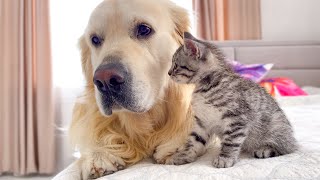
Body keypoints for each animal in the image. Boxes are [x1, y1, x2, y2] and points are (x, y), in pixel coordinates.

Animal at [166, 32, 298, 167]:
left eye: (176, 65)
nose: (168, 73)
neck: (207, 87)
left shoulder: (237, 119)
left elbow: (230, 141)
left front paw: (225, 158)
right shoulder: (201, 122)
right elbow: (194, 140)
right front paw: (183, 155)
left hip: (276, 126)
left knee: (287, 148)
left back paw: (265, 149)